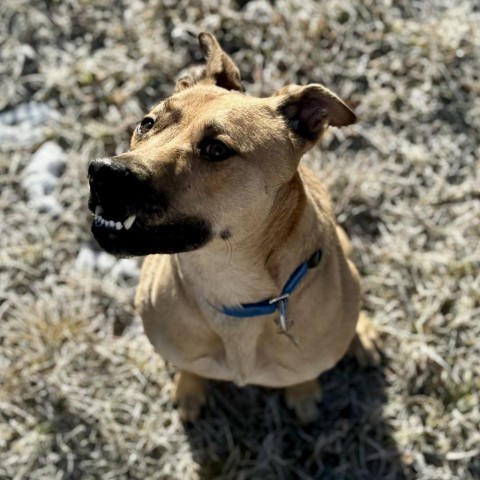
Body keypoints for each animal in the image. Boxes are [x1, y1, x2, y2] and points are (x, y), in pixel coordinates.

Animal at [87, 32, 378, 424]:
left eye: (216, 149)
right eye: (147, 123)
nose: (103, 173)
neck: (229, 288)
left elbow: (304, 375)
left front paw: (303, 393)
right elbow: (189, 366)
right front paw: (189, 389)